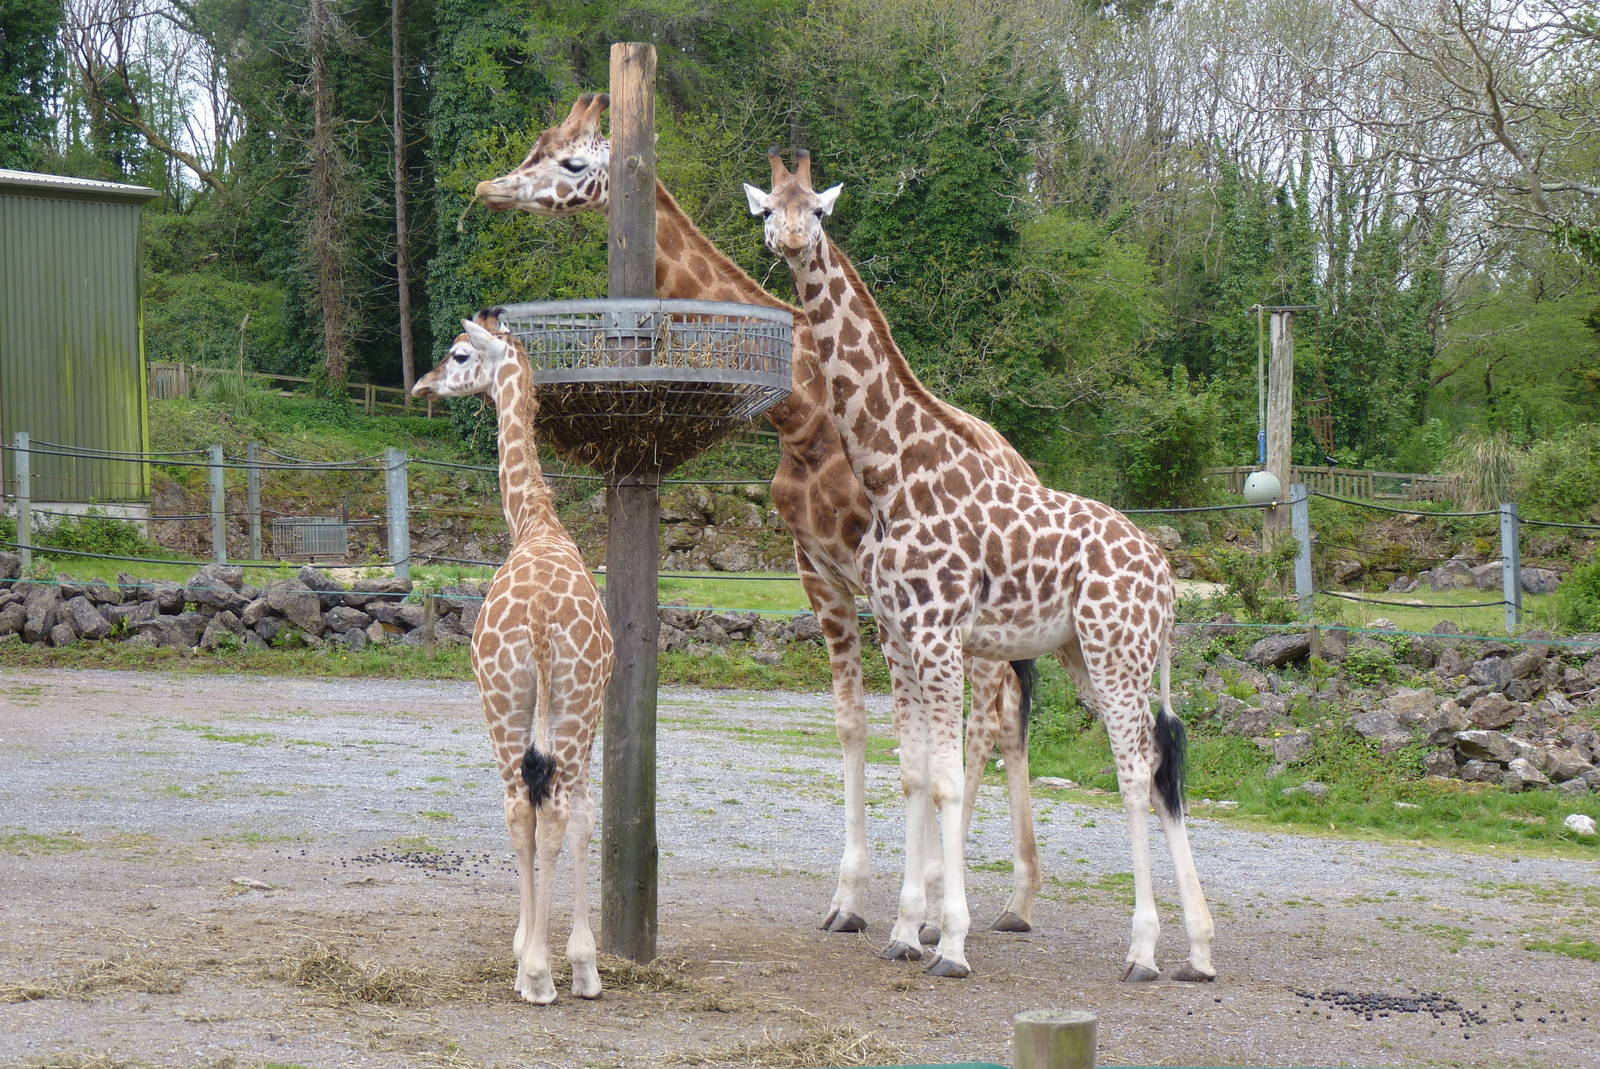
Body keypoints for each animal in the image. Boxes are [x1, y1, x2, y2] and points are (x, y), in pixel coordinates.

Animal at [412, 309, 614, 1005]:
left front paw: (525, 948)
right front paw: (576, 959)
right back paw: (577, 969)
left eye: (458, 354)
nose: (421, 384)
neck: (534, 522)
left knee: (519, 809)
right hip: (578, 703)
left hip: (502, 702)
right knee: (568, 810)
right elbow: (580, 817)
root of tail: (543, 623)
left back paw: (536, 973)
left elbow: (522, 815)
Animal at [474, 94, 1044, 940]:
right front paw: (849, 900)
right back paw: (1006, 895)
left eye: (573, 160)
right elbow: (852, 723)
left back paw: (980, 893)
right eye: (537, 147)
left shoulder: (878, 580)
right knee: (1002, 718)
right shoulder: (817, 568)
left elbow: (909, 737)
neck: (802, 413)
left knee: (990, 720)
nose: (490, 187)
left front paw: (917, 904)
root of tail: (1021, 460)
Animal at [745, 151, 1216, 982]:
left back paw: (1142, 950)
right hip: (1087, 655)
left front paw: (952, 941)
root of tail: (1164, 576)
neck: (892, 469)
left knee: (1133, 769)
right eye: (768, 208)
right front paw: (906, 929)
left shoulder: (937, 632)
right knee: (1160, 761)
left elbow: (948, 776)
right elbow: (916, 769)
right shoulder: (900, 631)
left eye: (820, 210)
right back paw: (1197, 949)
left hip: (1116, 652)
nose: (794, 241)